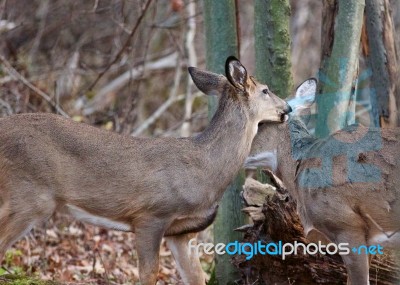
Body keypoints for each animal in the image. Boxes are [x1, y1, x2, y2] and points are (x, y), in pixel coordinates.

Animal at [0, 56, 290, 284]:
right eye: (266, 90)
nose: (287, 107)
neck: (204, 168)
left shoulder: (182, 232)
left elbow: (196, 278)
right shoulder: (151, 215)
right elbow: (149, 274)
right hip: (28, 197)